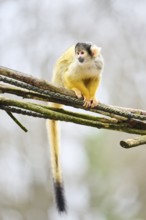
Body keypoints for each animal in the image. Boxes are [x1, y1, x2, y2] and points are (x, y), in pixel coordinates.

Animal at [46, 42, 104, 212]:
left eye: (82, 53)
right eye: (77, 53)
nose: (78, 57)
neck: (88, 63)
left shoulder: (99, 63)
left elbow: (95, 77)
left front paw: (92, 98)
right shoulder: (76, 68)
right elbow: (69, 76)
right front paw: (85, 95)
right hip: (59, 81)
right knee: (65, 72)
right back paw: (76, 91)